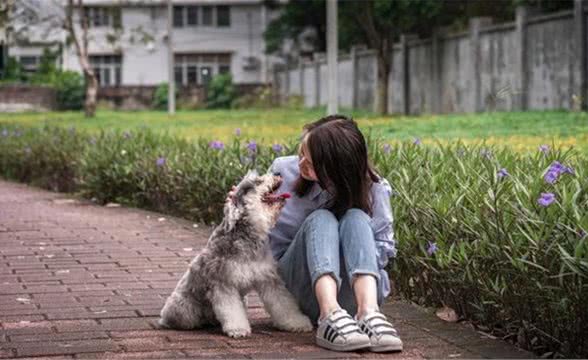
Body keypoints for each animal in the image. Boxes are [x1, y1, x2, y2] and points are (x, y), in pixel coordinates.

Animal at [156, 171, 312, 338]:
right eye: (257, 181)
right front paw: (238, 329)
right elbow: (231, 310)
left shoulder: (269, 279)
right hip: (183, 308)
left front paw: (297, 323)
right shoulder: (223, 284)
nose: (278, 173)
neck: (247, 238)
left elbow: (284, 304)